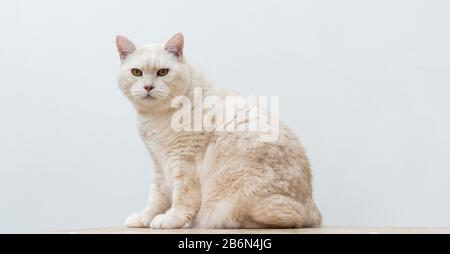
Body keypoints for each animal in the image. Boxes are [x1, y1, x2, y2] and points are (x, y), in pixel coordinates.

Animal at [115, 32, 320, 229]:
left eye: (163, 72)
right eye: (136, 72)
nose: (148, 86)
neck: (156, 117)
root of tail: (313, 209)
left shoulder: (183, 161)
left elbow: (182, 196)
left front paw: (172, 218)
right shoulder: (160, 164)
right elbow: (157, 196)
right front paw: (145, 218)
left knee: (287, 219)